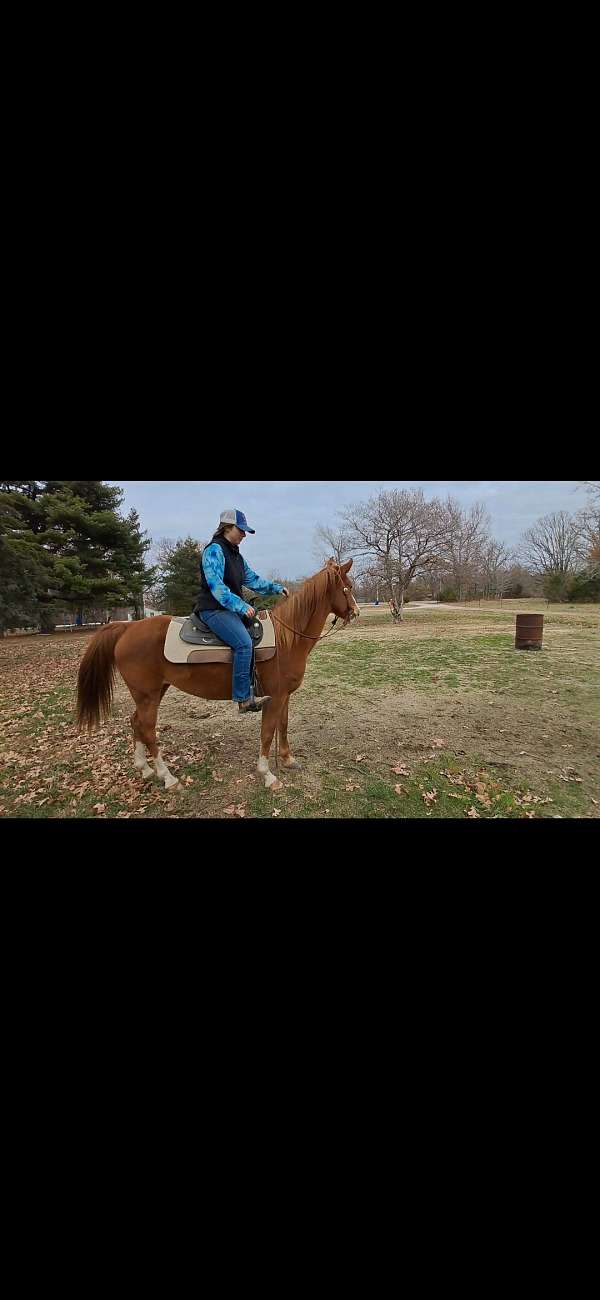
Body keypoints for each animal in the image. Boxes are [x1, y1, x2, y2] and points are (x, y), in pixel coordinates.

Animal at [74, 559, 355, 790]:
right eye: (347, 587)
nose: (355, 612)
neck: (288, 639)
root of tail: (125, 628)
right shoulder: (274, 697)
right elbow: (267, 732)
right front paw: (267, 775)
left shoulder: (284, 696)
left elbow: (282, 726)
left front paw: (287, 759)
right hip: (147, 695)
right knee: (148, 729)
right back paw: (168, 778)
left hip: (151, 692)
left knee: (135, 723)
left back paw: (144, 770)